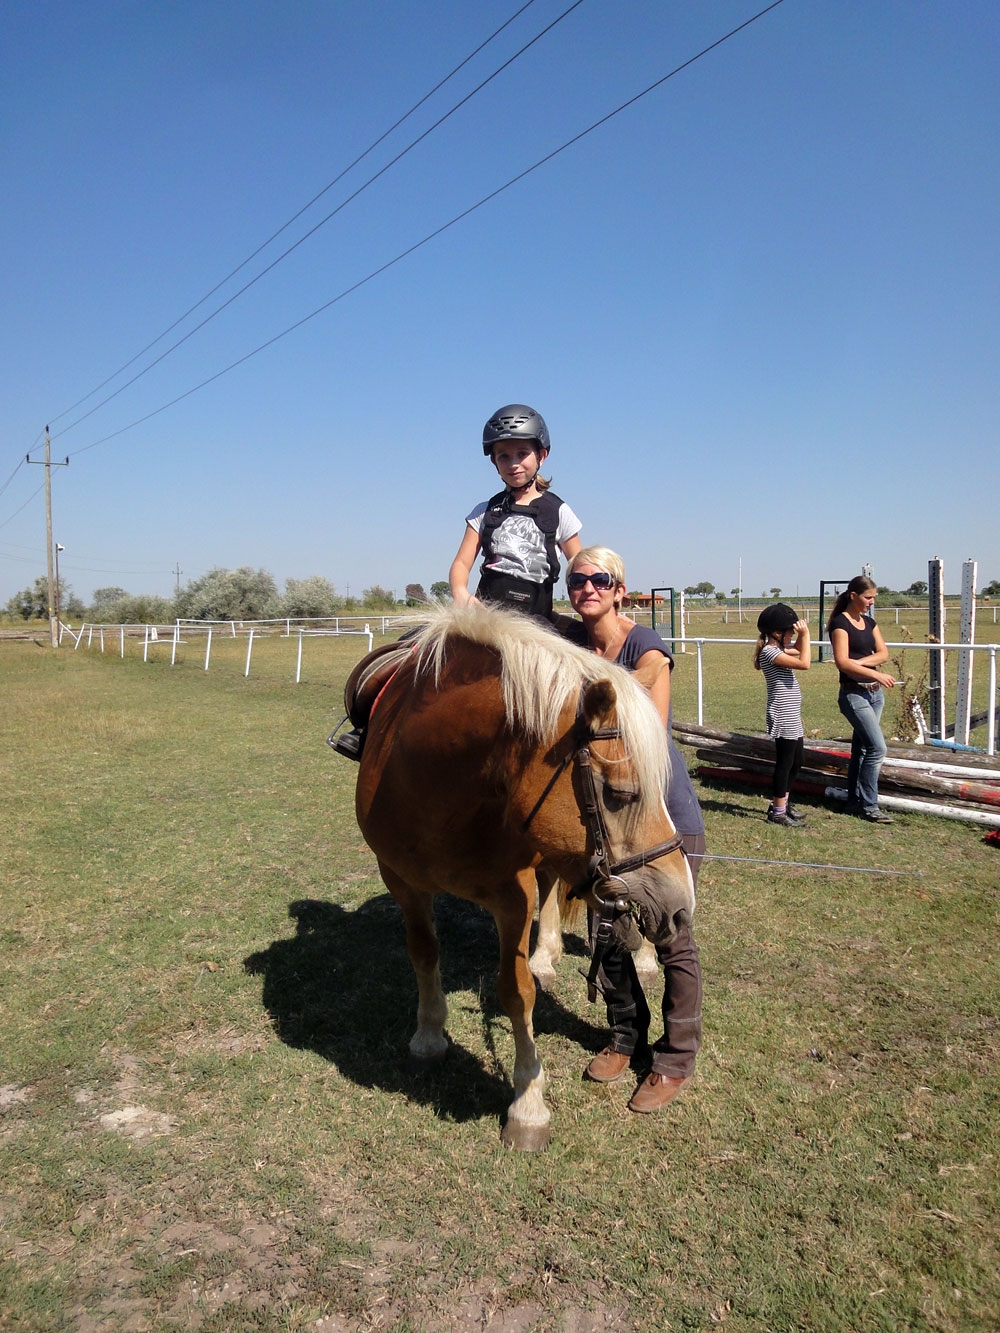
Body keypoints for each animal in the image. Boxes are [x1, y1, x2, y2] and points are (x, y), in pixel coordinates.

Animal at [354, 602, 698, 1146]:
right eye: (620, 793)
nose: (682, 903)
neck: (433, 779)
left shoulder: (510, 898)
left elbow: (516, 991)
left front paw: (528, 1105)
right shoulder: (401, 880)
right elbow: (424, 954)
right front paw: (428, 1036)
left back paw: (635, 956)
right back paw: (546, 953)